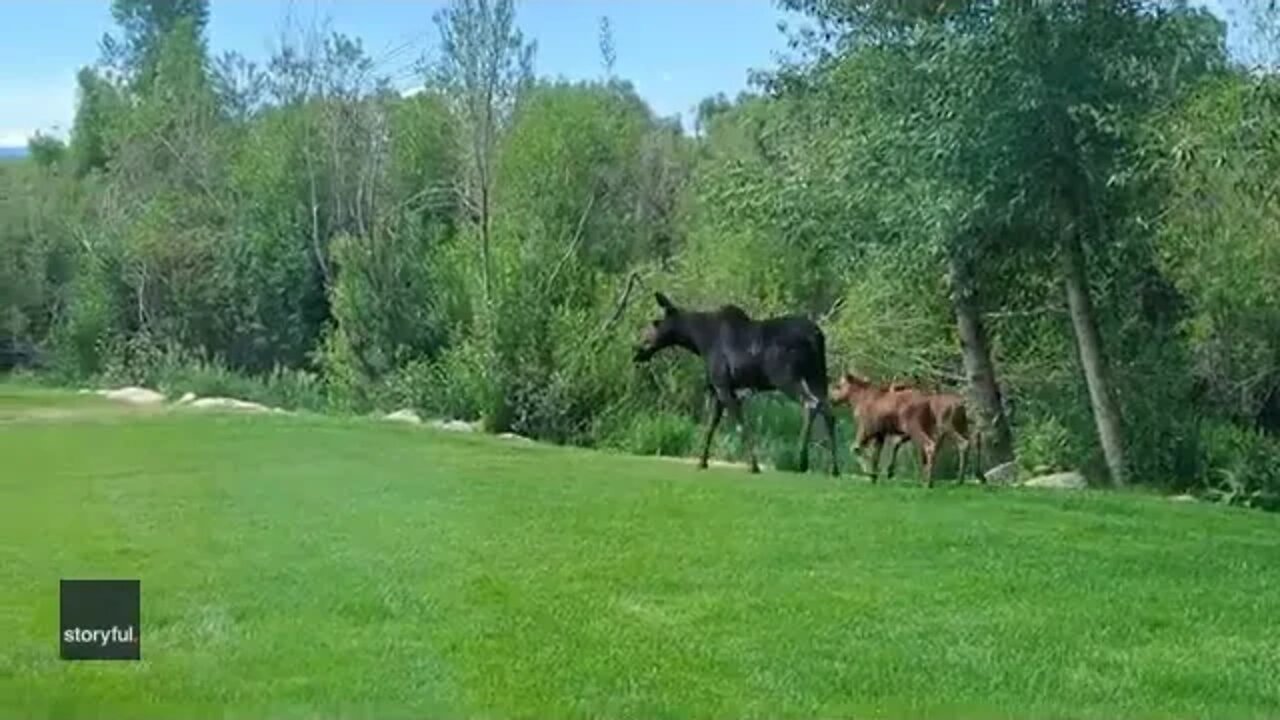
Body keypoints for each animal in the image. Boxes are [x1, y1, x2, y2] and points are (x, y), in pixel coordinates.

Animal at [632, 288, 839, 474]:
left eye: (655, 323)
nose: (637, 349)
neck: (699, 342)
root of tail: (817, 336)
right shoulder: (720, 391)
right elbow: (711, 426)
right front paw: (701, 462)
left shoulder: (723, 386)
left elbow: (740, 425)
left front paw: (754, 466)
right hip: (818, 377)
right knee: (829, 410)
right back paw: (834, 469)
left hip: (786, 378)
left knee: (811, 404)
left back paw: (801, 461)